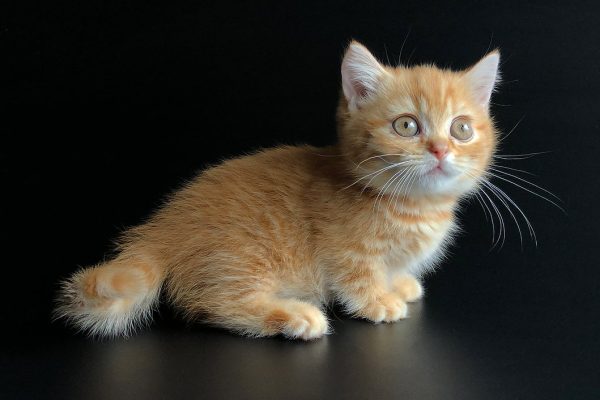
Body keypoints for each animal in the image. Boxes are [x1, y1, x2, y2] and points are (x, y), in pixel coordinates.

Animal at [56, 41, 500, 340]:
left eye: (461, 129)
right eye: (406, 125)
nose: (440, 150)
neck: (413, 206)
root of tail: (163, 228)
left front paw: (401, 283)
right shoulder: (345, 251)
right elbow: (357, 277)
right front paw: (378, 299)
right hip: (241, 256)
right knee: (214, 305)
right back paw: (297, 317)